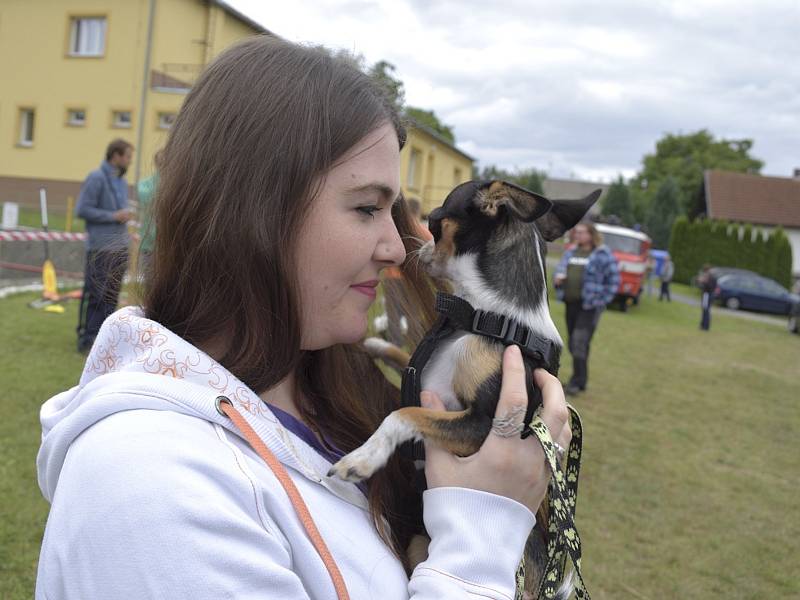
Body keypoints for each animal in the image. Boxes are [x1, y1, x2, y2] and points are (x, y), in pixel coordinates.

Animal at [328, 179, 596, 596]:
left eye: (434, 223)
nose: (414, 245)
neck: (487, 318)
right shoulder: (421, 372)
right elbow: (401, 357)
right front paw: (373, 343)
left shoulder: (481, 425)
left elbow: (403, 414)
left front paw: (364, 457)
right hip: (418, 542)